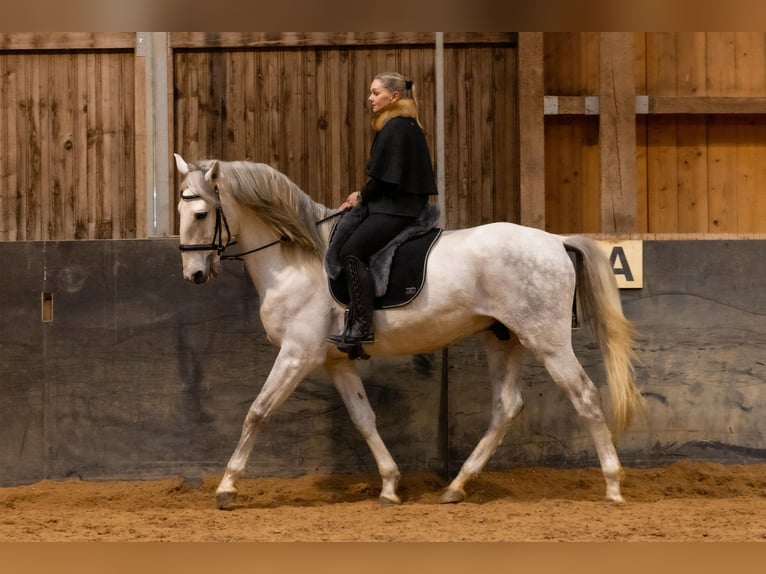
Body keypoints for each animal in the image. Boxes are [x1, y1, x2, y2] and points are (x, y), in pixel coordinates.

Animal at [176, 152, 648, 508]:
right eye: (180, 210)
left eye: (200, 212)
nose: (193, 274)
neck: (296, 257)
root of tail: (555, 241)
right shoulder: (334, 361)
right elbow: (364, 419)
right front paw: (389, 485)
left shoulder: (297, 353)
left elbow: (257, 411)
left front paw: (226, 487)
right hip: (503, 338)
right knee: (507, 407)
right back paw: (456, 486)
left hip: (546, 340)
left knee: (585, 396)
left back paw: (612, 486)